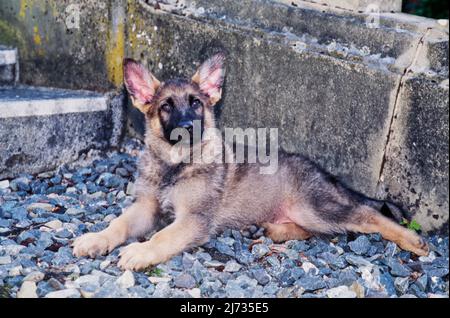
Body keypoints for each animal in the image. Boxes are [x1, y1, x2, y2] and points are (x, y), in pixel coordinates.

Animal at [73, 52, 428, 270]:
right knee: (321, 232)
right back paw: (272, 229)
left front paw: (141, 250)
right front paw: (96, 239)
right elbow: (118, 223)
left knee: (366, 215)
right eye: (166, 107)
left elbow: (162, 237)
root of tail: (325, 174)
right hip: (306, 213)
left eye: (196, 103)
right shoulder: (146, 207)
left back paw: (412, 240)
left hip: (315, 206)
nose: (189, 127)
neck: (176, 165)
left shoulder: (194, 219)